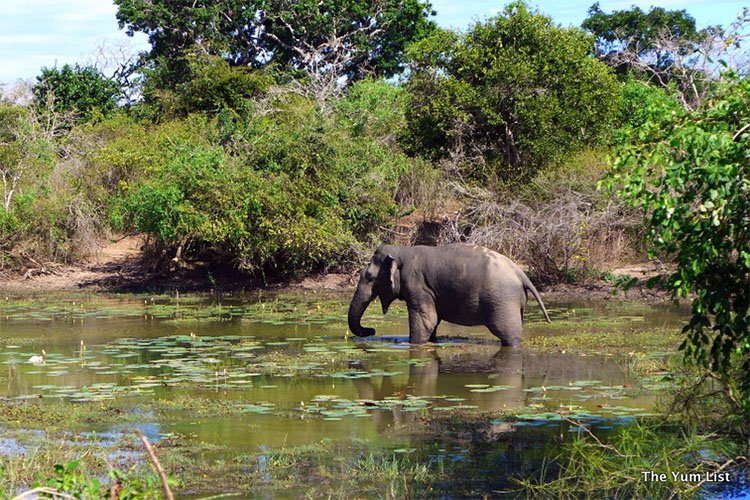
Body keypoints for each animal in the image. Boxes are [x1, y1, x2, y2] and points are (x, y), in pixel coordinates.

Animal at [348, 243, 552, 346]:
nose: (372, 330)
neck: (402, 250)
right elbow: (432, 321)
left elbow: (426, 321)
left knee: (508, 334)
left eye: (369, 277)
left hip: (503, 301)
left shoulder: (417, 284)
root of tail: (522, 274)